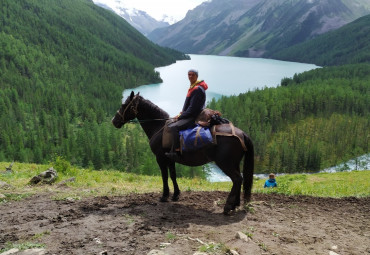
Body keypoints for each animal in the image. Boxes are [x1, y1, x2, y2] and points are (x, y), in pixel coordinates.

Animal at [110, 90, 254, 214]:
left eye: (124, 105)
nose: (114, 121)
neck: (159, 127)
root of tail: (242, 134)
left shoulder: (160, 158)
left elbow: (164, 176)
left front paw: (164, 196)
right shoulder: (170, 159)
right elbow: (173, 175)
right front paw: (176, 195)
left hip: (225, 164)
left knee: (237, 179)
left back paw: (228, 206)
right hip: (235, 163)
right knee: (239, 180)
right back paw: (235, 204)